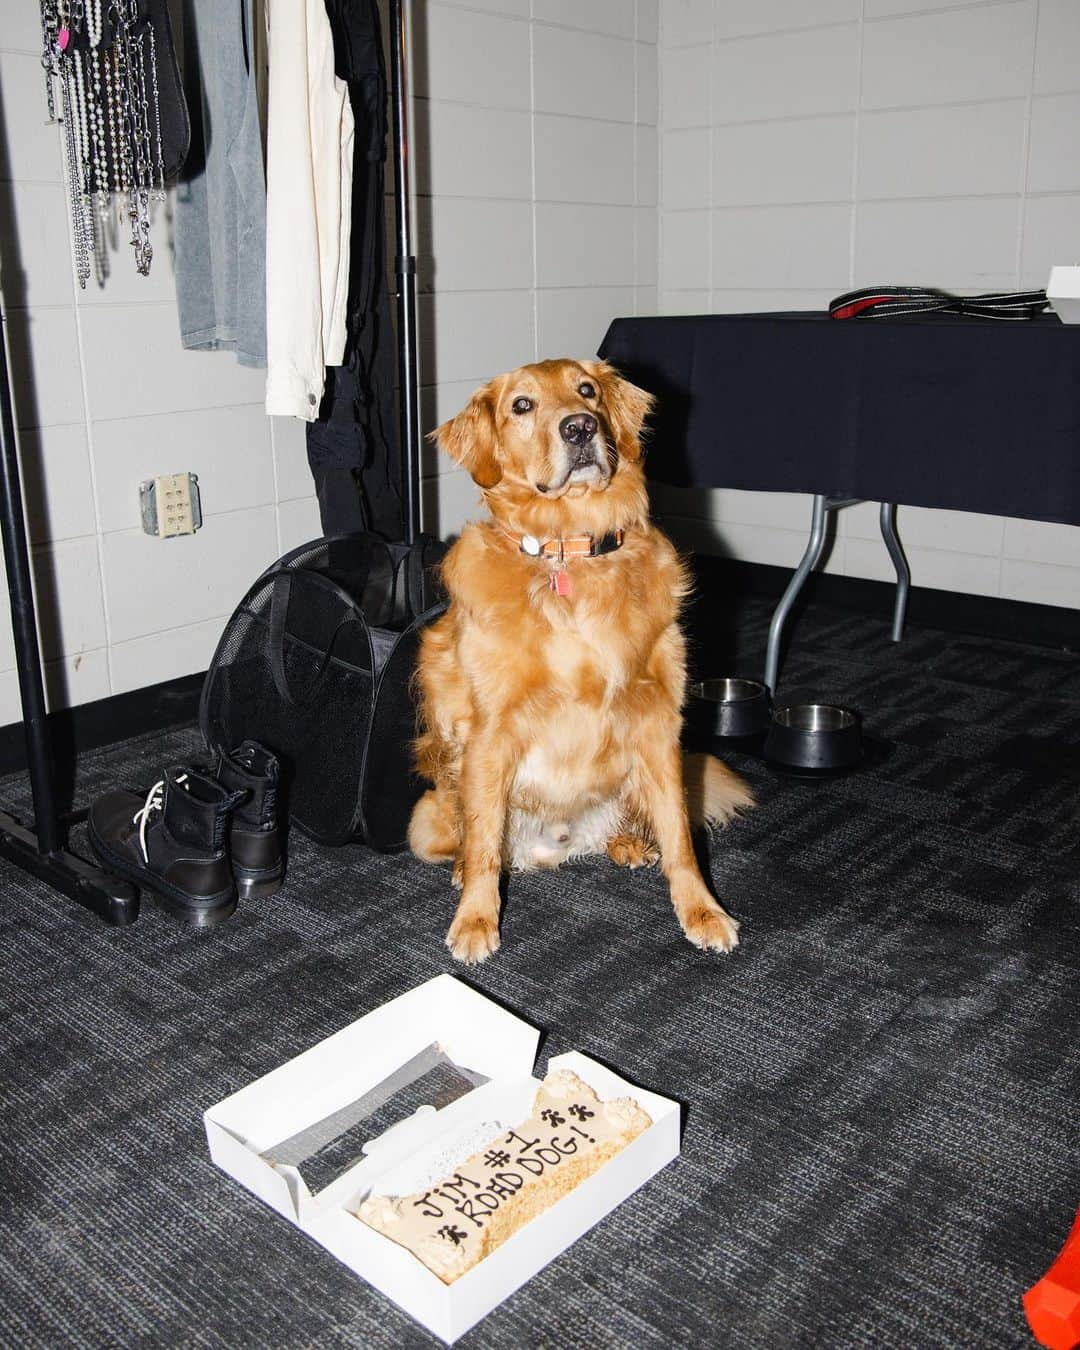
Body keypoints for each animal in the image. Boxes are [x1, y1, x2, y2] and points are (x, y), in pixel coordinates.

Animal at [410, 359, 756, 961]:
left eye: (586, 390)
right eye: (522, 405)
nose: (579, 428)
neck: (569, 549)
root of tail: (557, 848)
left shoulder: (659, 720)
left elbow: (681, 838)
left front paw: (702, 912)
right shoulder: (490, 731)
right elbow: (483, 846)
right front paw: (476, 920)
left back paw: (627, 844)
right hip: (427, 818)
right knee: (474, 840)